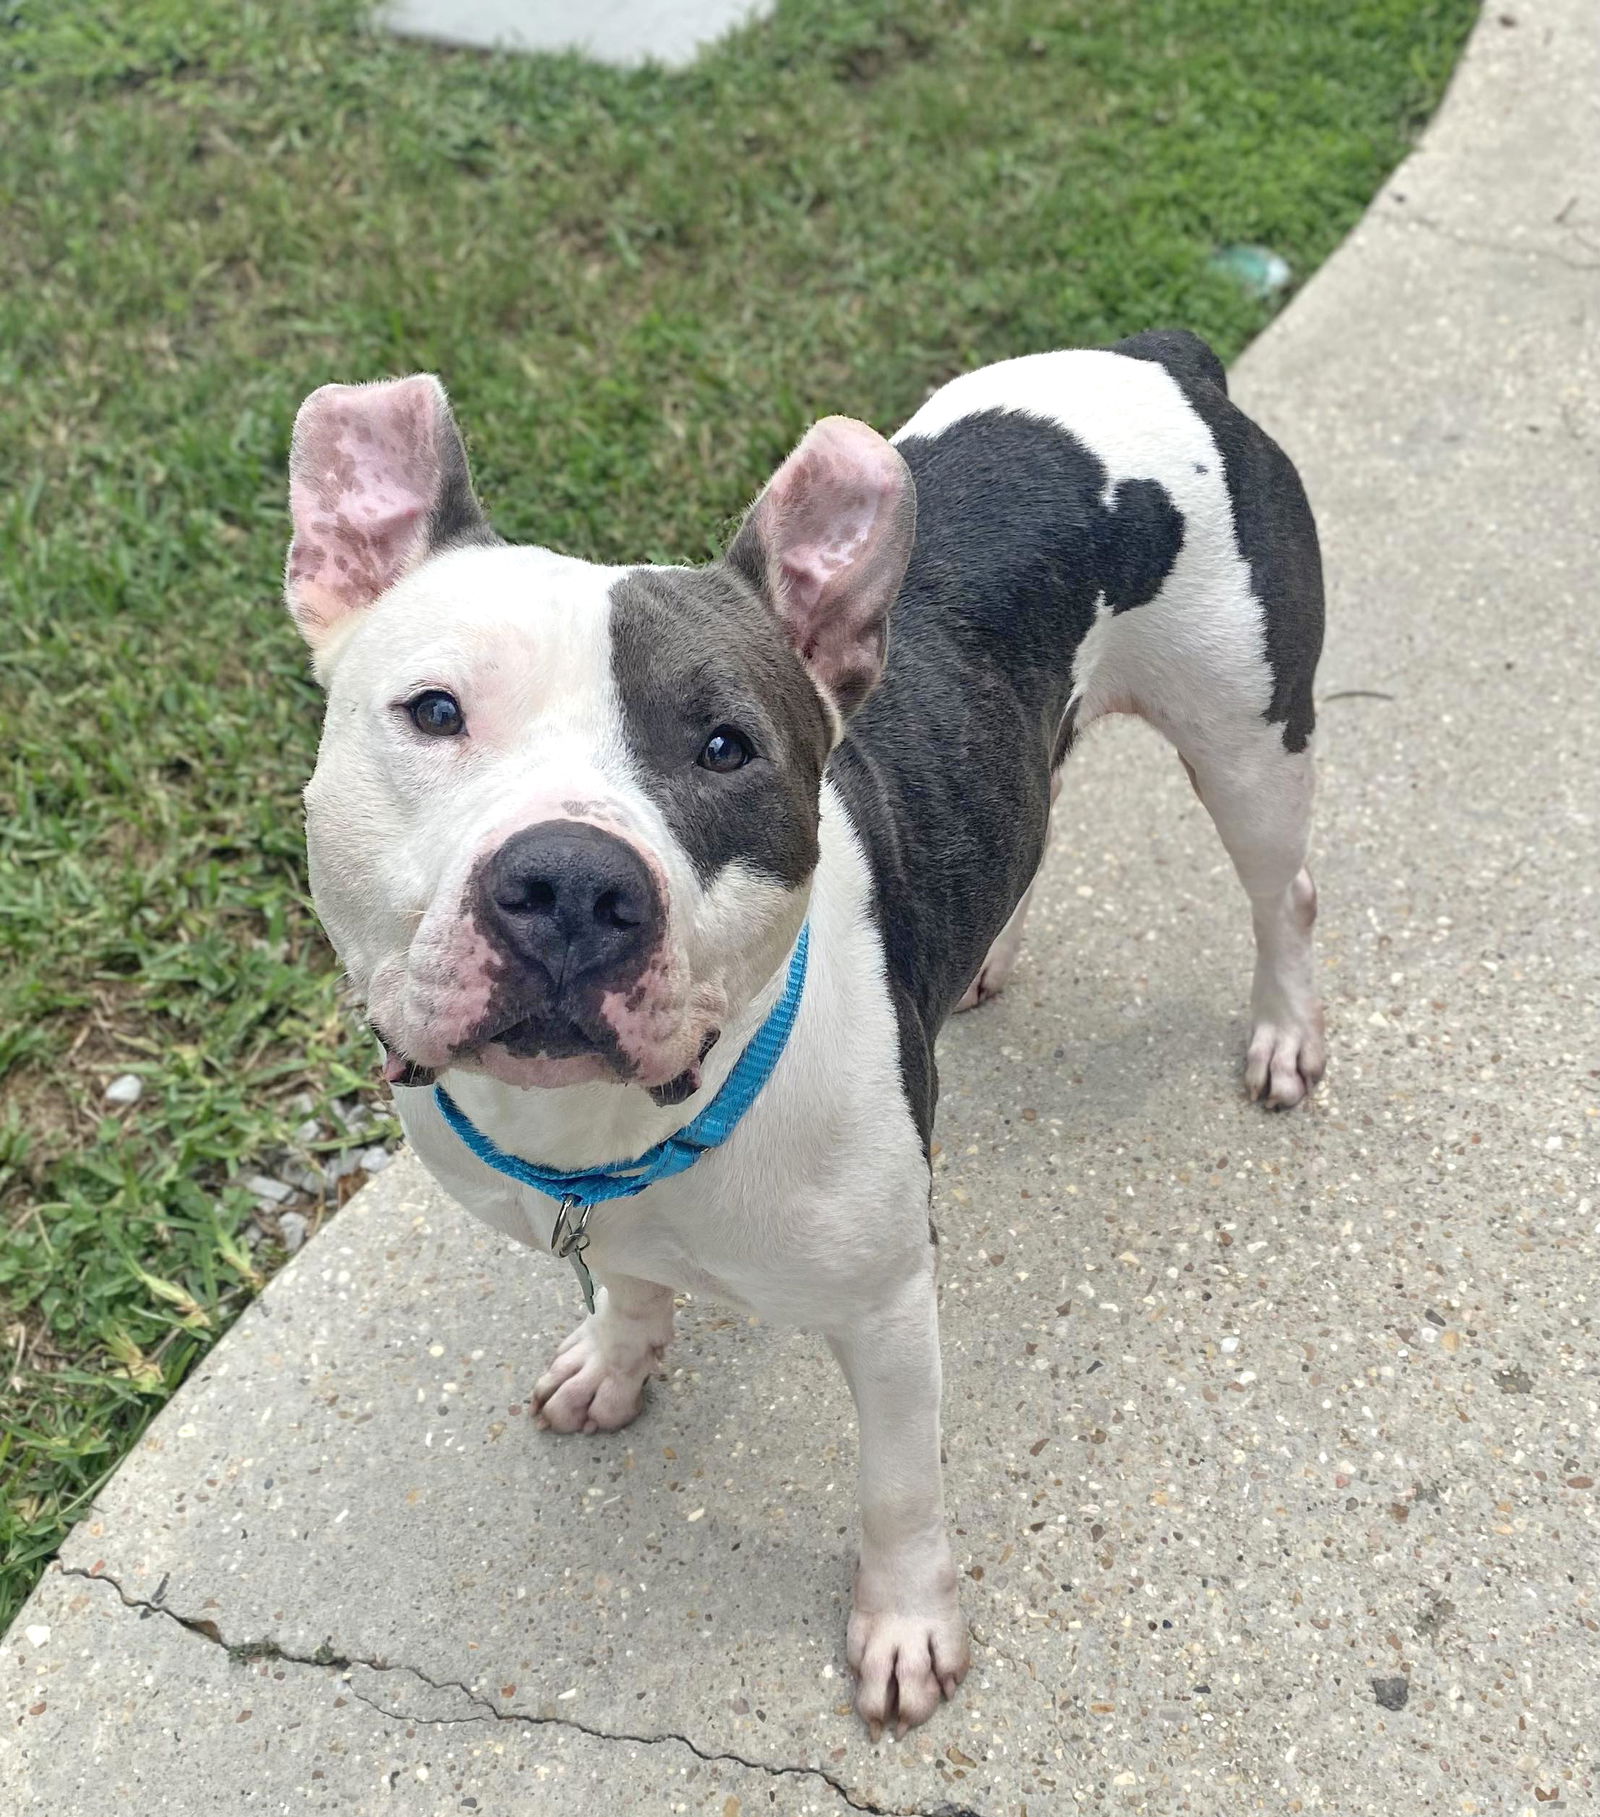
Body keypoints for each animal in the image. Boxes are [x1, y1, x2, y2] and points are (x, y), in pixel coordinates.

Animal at [286, 334, 1322, 1737]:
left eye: (727, 747)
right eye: (433, 711)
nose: (570, 883)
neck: (618, 1127)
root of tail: (1165, 356)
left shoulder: (886, 1309)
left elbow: (897, 1486)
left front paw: (905, 1626)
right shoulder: (606, 1218)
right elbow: (631, 1280)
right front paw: (618, 1354)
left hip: (1250, 743)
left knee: (1283, 894)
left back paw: (1283, 1030)